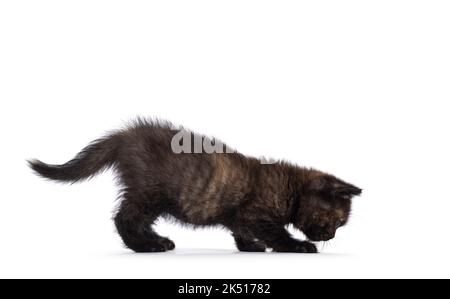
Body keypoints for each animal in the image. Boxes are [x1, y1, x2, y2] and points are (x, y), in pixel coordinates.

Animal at [28, 118, 360, 254]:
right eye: (336, 221)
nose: (330, 236)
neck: (290, 188)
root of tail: (125, 135)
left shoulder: (241, 217)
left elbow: (240, 231)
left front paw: (250, 247)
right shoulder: (257, 214)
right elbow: (277, 234)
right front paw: (299, 246)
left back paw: (156, 241)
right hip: (151, 192)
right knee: (123, 219)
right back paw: (148, 246)